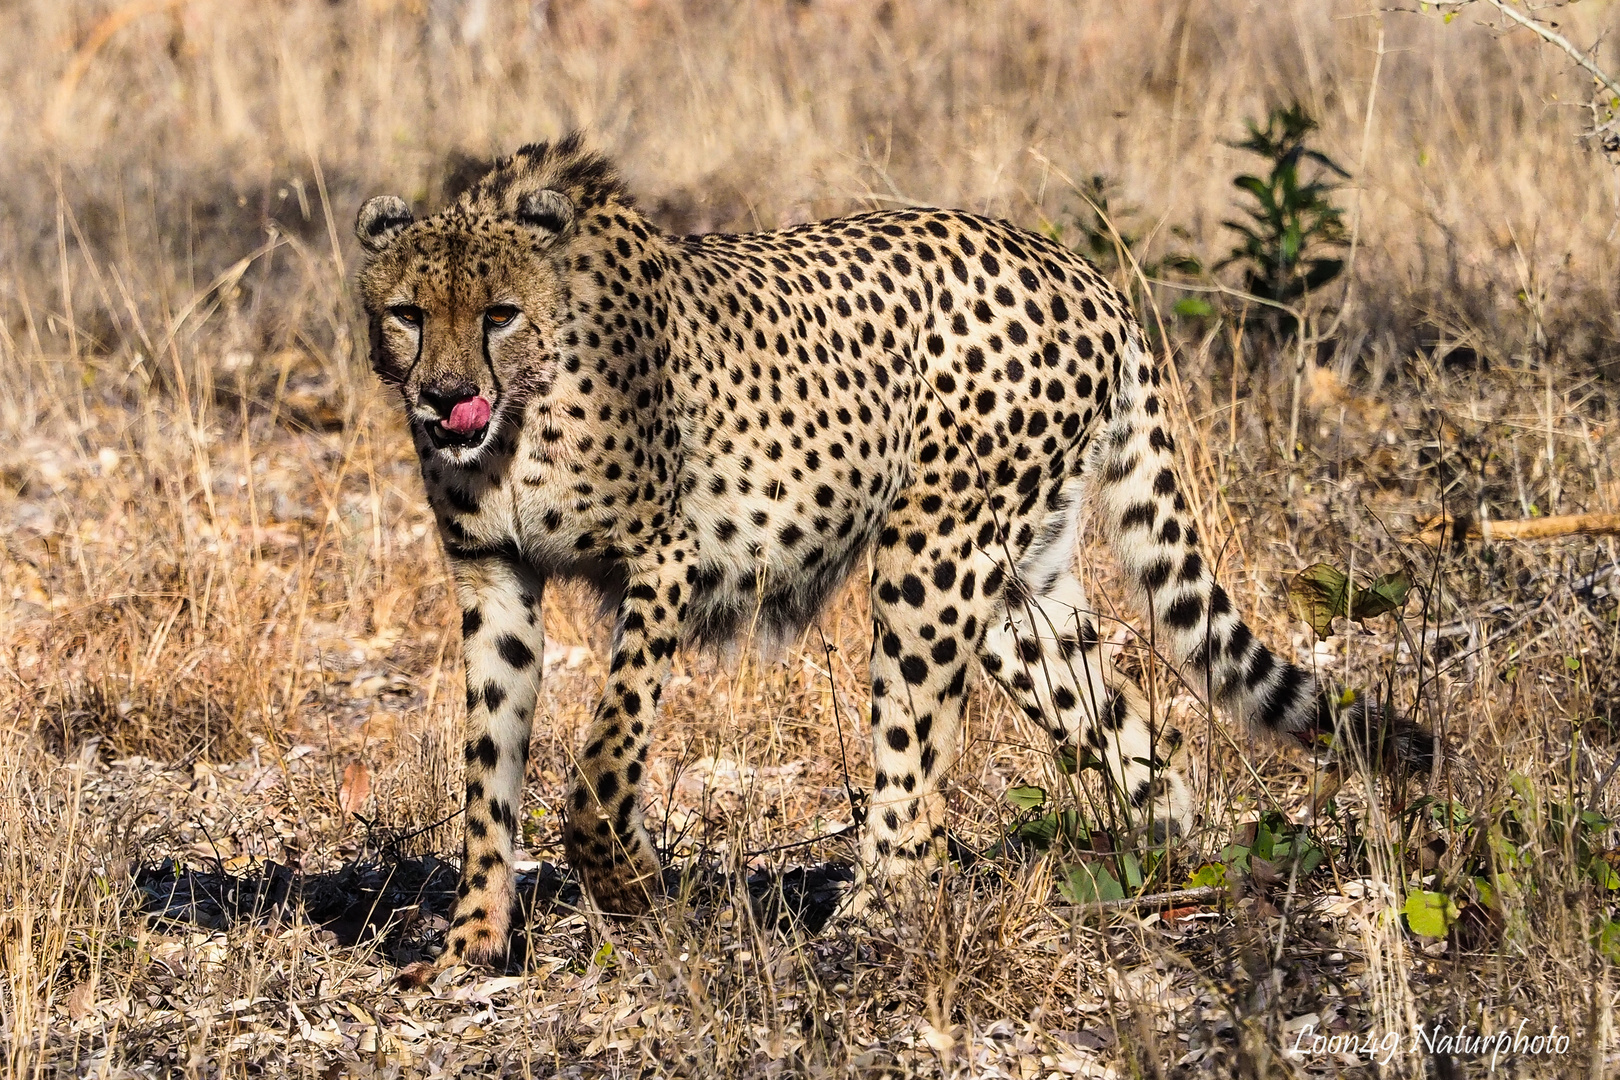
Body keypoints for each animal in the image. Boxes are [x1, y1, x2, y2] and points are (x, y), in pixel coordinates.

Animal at [358, 135, 1432, 977]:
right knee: (1131, 734)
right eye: (408, 313)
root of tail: (1086, 272)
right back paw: (1171, 872)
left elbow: (604, 756)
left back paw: (867, 921)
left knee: (916, 773)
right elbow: (487, 767)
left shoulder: (665, 564)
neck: (520, 415)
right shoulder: (494, 576)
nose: (446, 397)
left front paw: (631, 887)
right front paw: (471, 941)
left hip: (929, 561)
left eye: (498, 312)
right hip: (1016, 588)